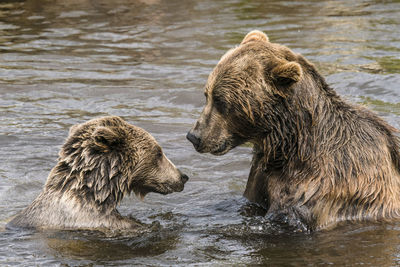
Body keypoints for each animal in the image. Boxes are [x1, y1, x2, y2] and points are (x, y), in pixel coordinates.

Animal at [188, 30, 400, 231]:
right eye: (207, 94)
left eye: (221, 101)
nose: (194, 136)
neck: (288, 146)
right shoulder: (260, 180)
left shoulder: (315, 189)